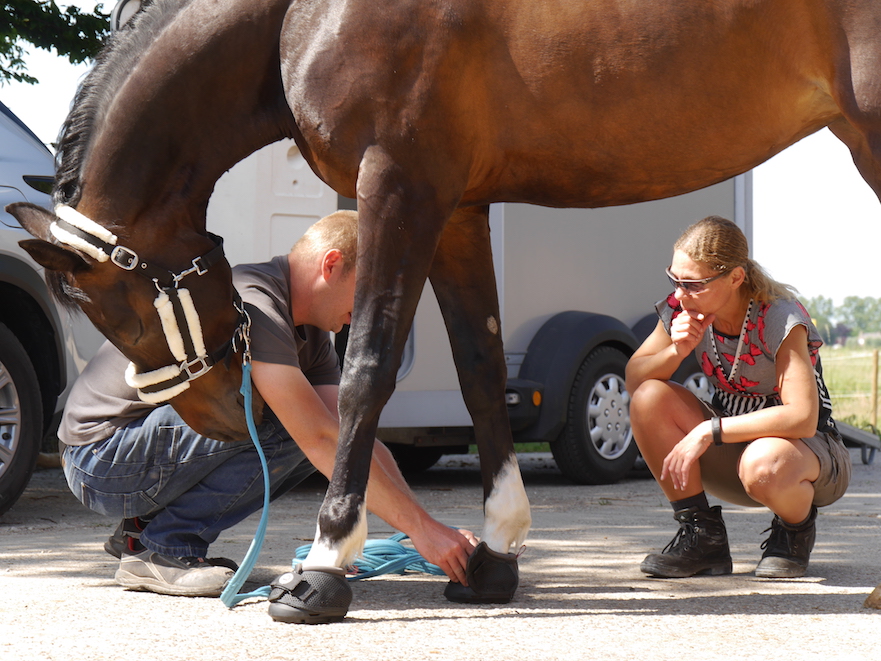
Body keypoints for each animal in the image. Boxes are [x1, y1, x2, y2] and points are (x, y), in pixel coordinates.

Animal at [6, 0, 880, 620]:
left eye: (113, 309)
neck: (303, 11)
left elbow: (367, 365)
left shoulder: (397, 182)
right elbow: (478, 367)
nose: (225, 415)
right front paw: (490, 555)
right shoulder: (457, 205)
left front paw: (323, 566)